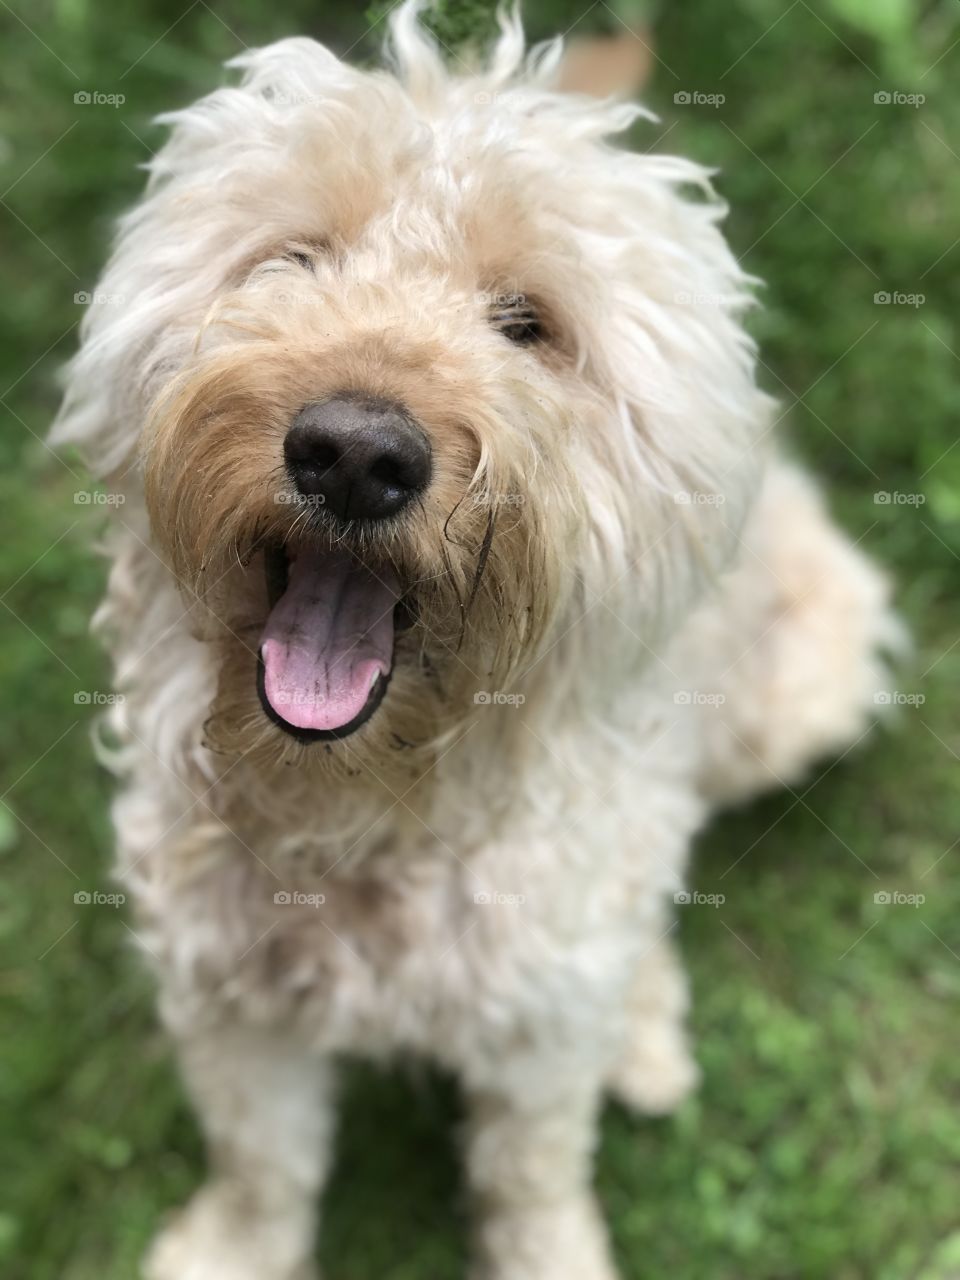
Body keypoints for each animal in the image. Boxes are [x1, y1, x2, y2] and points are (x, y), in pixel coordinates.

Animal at [50, 5, 896, 1274]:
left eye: (527, 324)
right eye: (294, 257)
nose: (356, 453)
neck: (367, 806)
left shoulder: (539, 1015)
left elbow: (531, 1168)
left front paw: (553, 1250)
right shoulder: (229, 993)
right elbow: (262, 1160)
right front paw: (232, 1250)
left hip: (798, 677)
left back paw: (644, 1032)